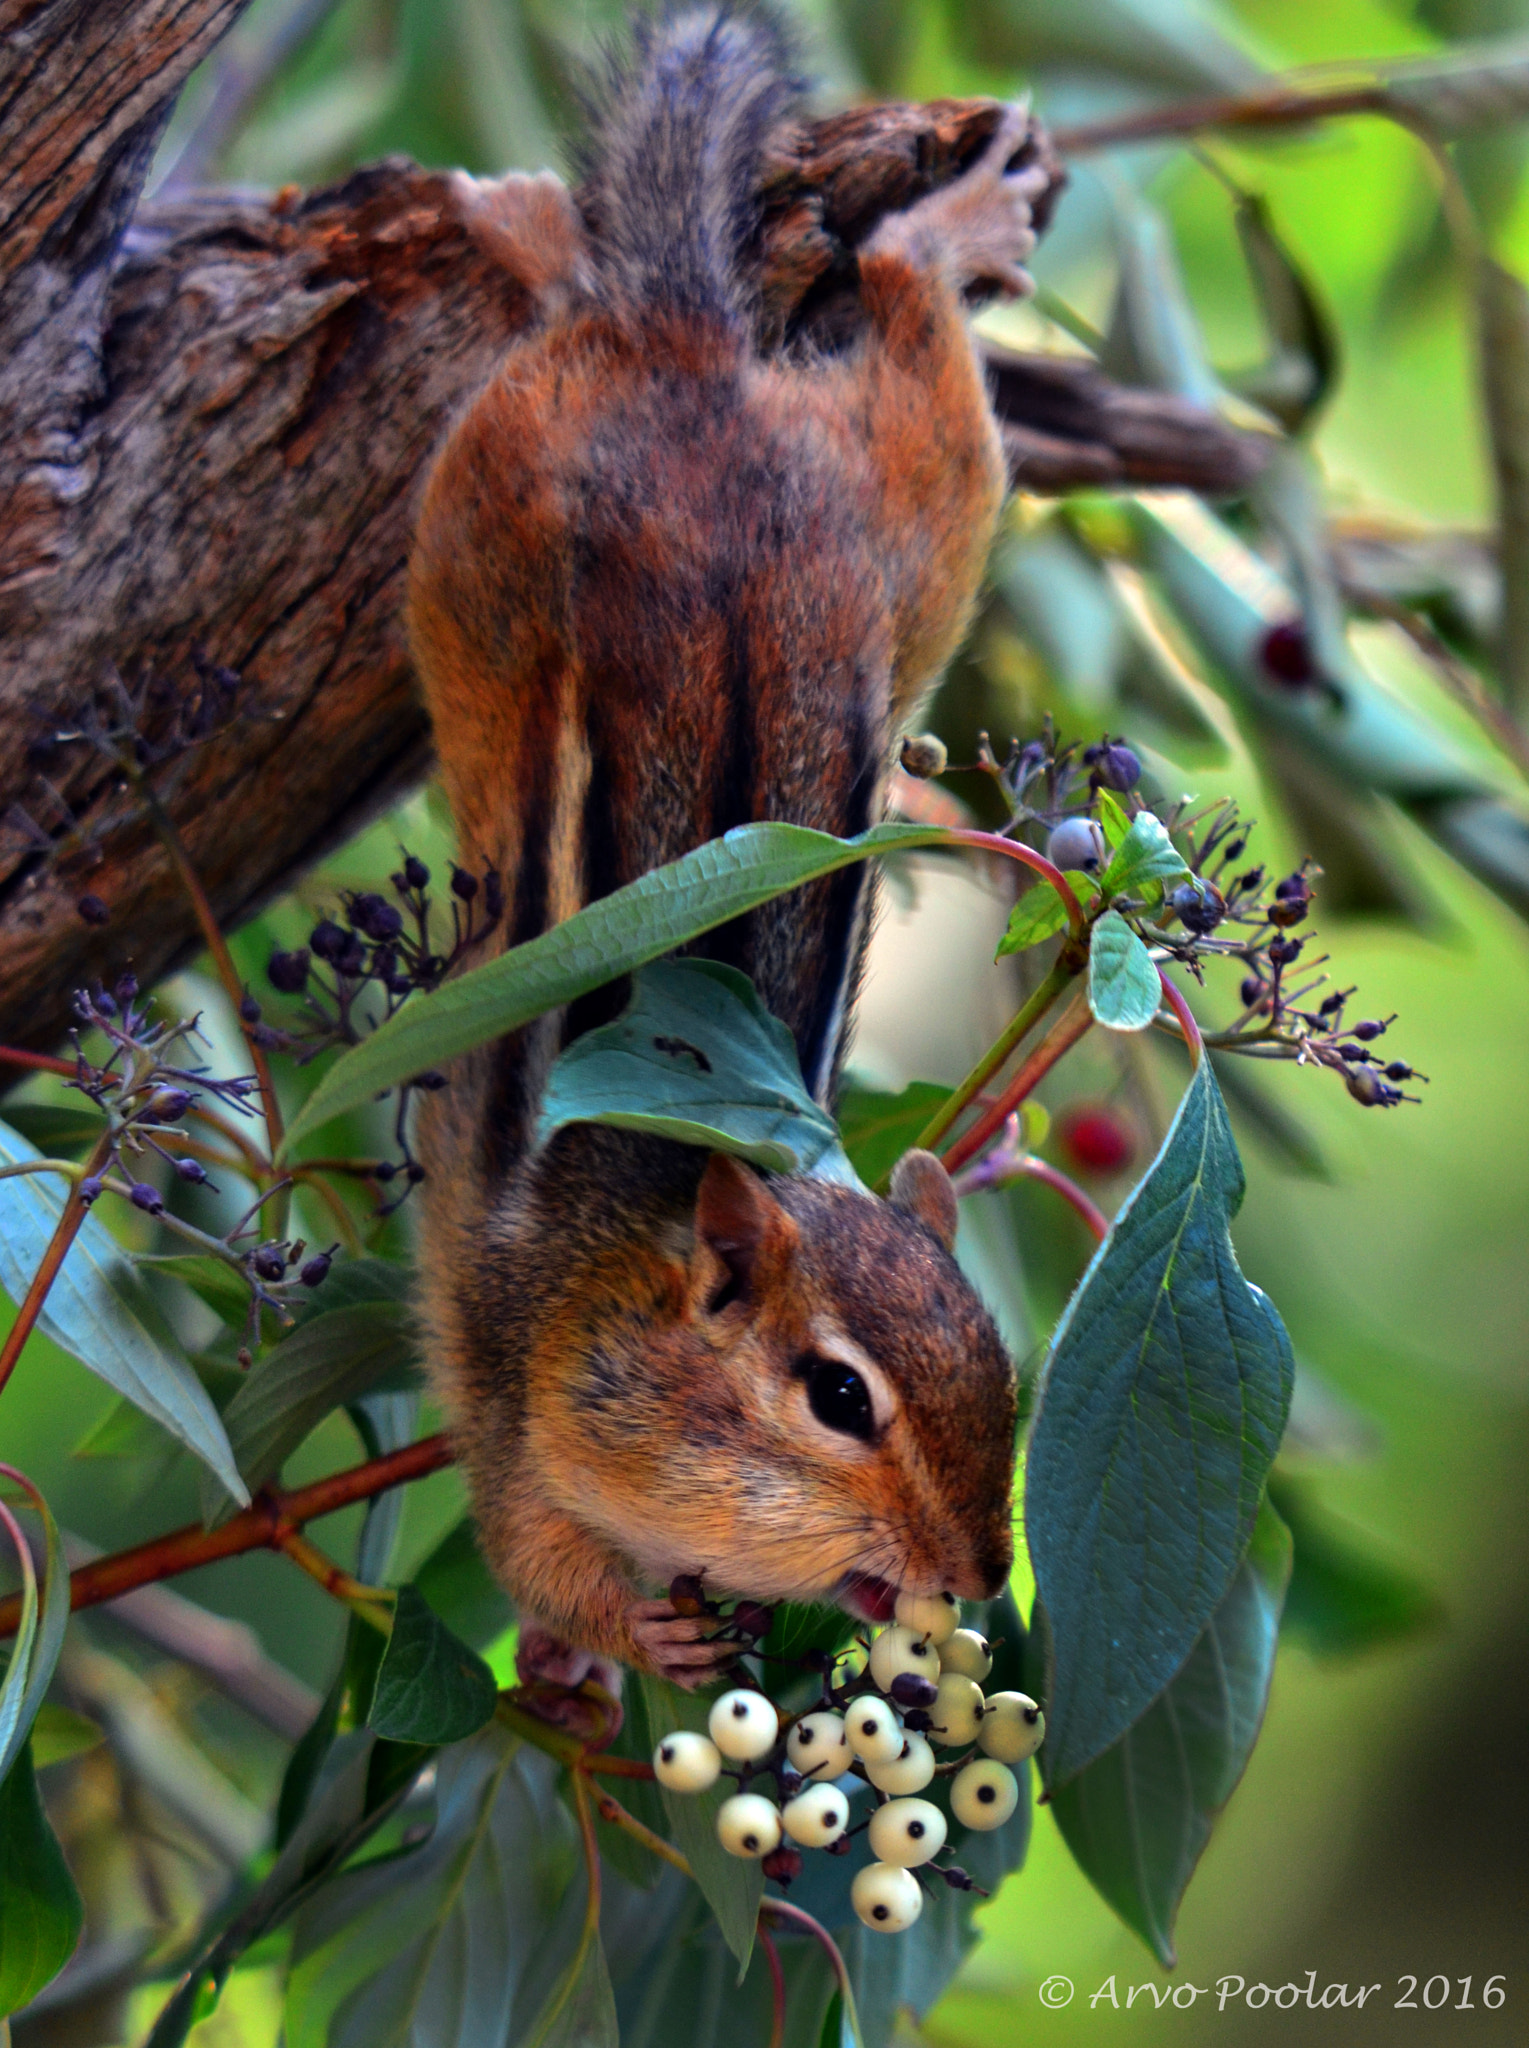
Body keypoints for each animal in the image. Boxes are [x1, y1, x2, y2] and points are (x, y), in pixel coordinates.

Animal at [406, 5, 1049, 1688]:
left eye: (1001, 1370)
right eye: (836, 1398)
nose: (977, 1570)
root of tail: (697, 349)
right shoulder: (512, 1385)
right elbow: (531, 1550)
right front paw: (617, 1636)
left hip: (923, 511)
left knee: (909, 323)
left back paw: (950, 228)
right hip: (483, 500)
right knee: (589, 304)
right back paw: (525, 219)